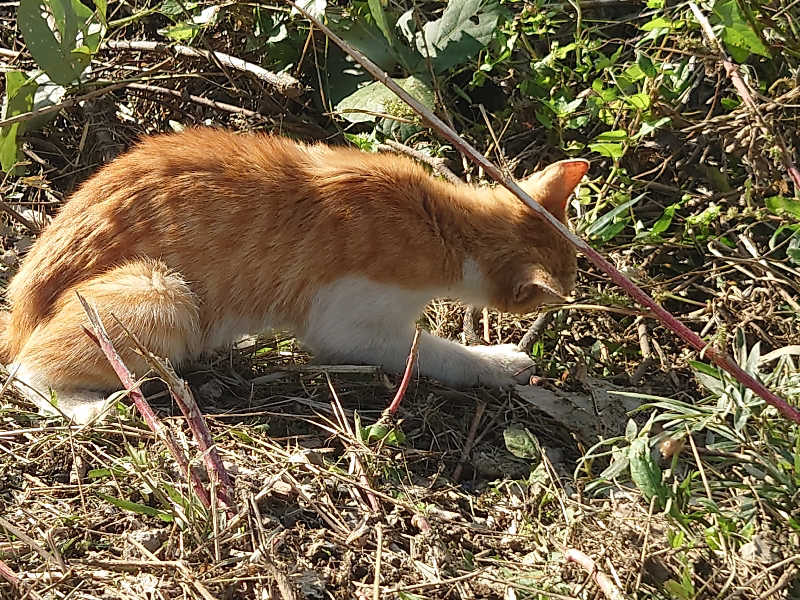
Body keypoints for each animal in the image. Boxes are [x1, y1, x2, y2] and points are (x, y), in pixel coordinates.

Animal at [0, 127, 588, 422]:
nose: (577, 293)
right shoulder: (350, 328)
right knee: (26, 371)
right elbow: (438, 352)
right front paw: (500, 361)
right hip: (164, 294)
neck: (441, 221)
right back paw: (88, 409)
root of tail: (19, 309)